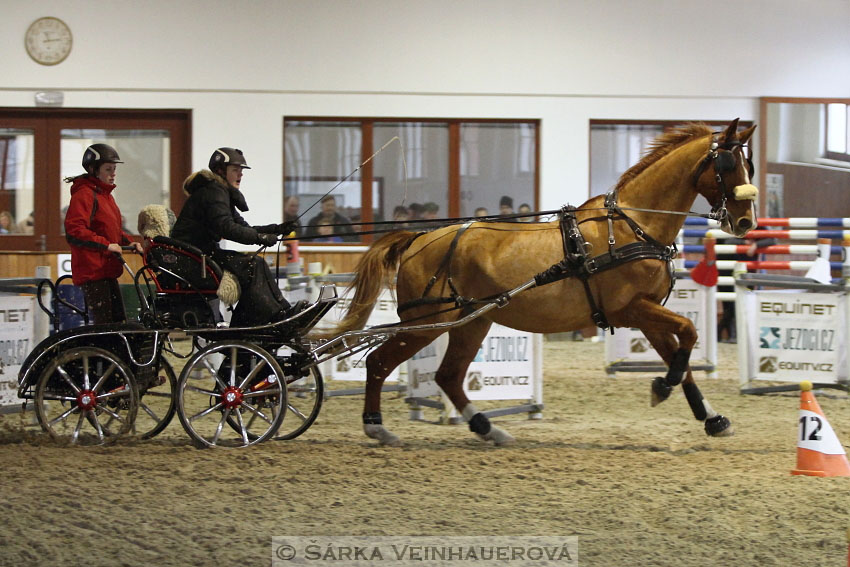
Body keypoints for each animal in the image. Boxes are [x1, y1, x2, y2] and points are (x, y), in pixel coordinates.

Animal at [328, 121, 752, 448]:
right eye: (728, 163)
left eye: (747, 163)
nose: (746, 221)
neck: (633, 225)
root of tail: (418, 238)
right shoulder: (631, 309)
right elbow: (689, 333)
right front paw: (662, 388)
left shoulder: (647, 312)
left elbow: (682, 358)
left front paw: (711, 418)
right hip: (426, 322)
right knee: (379, 362)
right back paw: (377, 427)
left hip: (470, 321)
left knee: (448, 376)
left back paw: (489, 429)